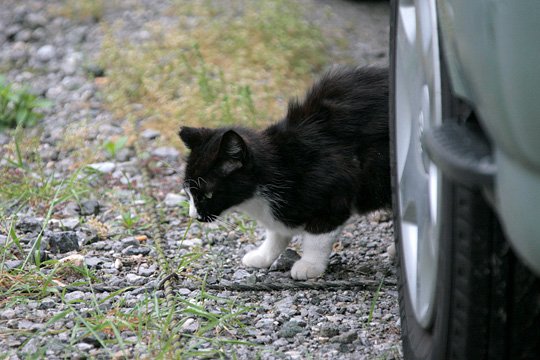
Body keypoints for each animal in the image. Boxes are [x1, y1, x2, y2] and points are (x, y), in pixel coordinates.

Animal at [179, 66, 390, 280]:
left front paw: (309, 265)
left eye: (207, 194)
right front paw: (263, 255)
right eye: (188, 192)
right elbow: (276, 232)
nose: (193, 216)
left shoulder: (335, 193)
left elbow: (318, 237)